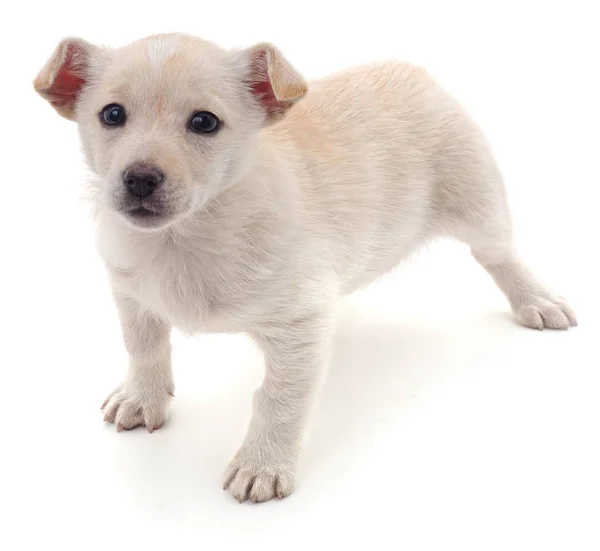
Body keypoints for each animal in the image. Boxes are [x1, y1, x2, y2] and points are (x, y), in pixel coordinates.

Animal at [34, 31, 576, 504]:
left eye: (205, 123)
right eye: (112, 114)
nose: (140, 178)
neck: (186, 237)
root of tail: (412, 71)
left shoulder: (297, 327)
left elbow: (280, 398)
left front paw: (262, 465)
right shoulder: (131, 293)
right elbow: (143, 347)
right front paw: (142, 398)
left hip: (479, 201)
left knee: (500, 255)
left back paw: (537, 300)